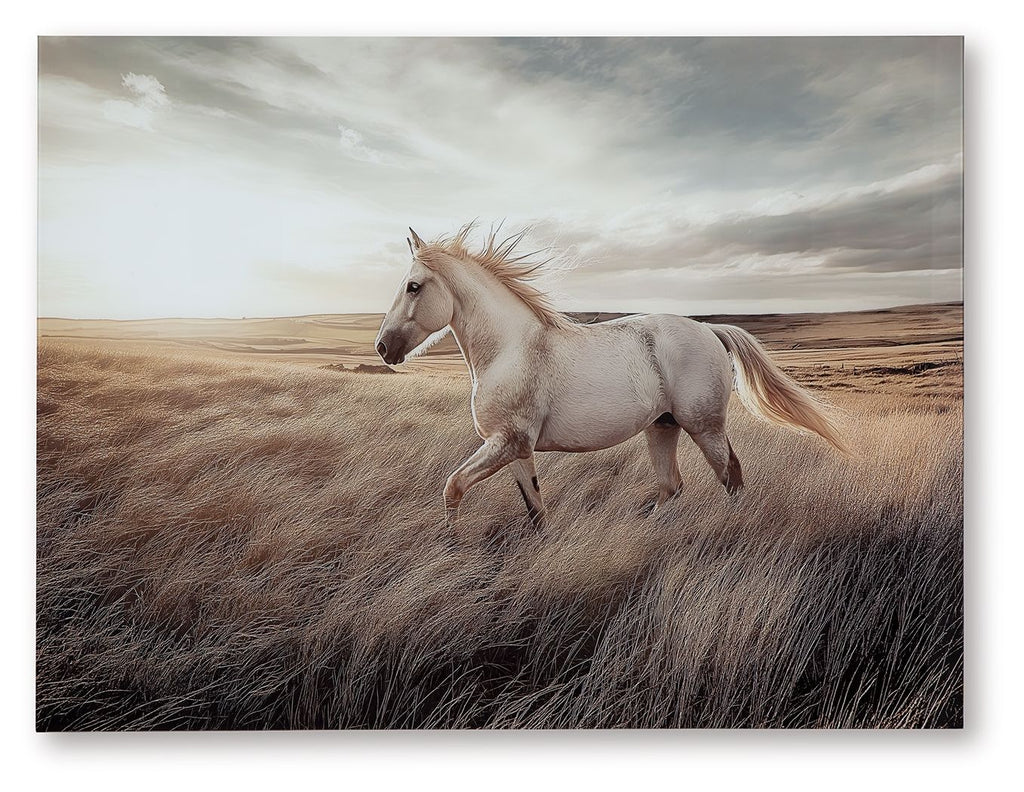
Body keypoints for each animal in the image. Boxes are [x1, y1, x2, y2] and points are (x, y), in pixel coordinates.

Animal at [375, 223, 847, 528]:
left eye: (414, 286)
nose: (382, 348)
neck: (510, 349)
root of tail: (708, 329)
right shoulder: (516, 449)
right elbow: (536, 511)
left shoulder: (505, 444)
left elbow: (452, 487)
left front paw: (451, 546)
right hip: (663, 427)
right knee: (671, 486)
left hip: (704, 426)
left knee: (731, 476)